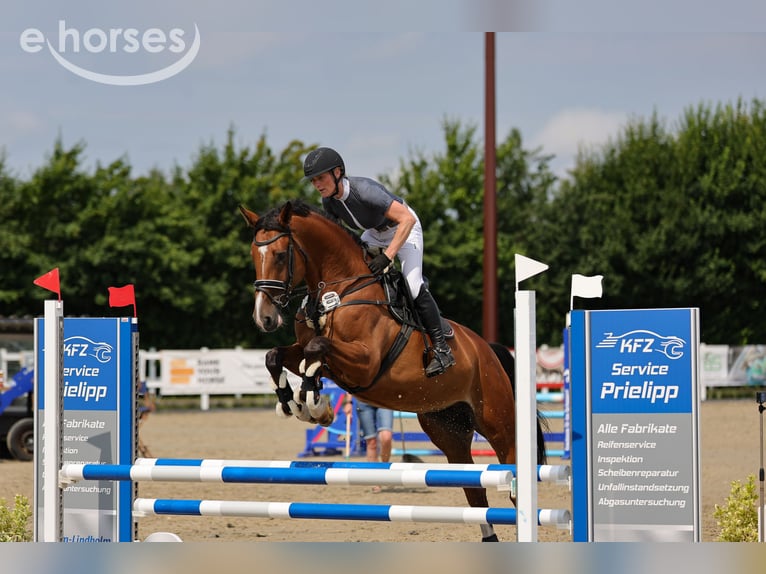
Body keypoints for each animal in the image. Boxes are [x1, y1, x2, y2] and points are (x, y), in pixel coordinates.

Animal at [239, 199, 547, 541]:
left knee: (513, 476)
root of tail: (488, 350)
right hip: (448, 429)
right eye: (253, 254)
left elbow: (315, 349)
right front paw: (294, 402)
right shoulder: (313, 353)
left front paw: (315, 405)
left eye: (280, 255)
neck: (340, 290)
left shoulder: (365, 362)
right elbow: (277, 356)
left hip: (497, 422)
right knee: (474, 489)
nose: (264, 318)